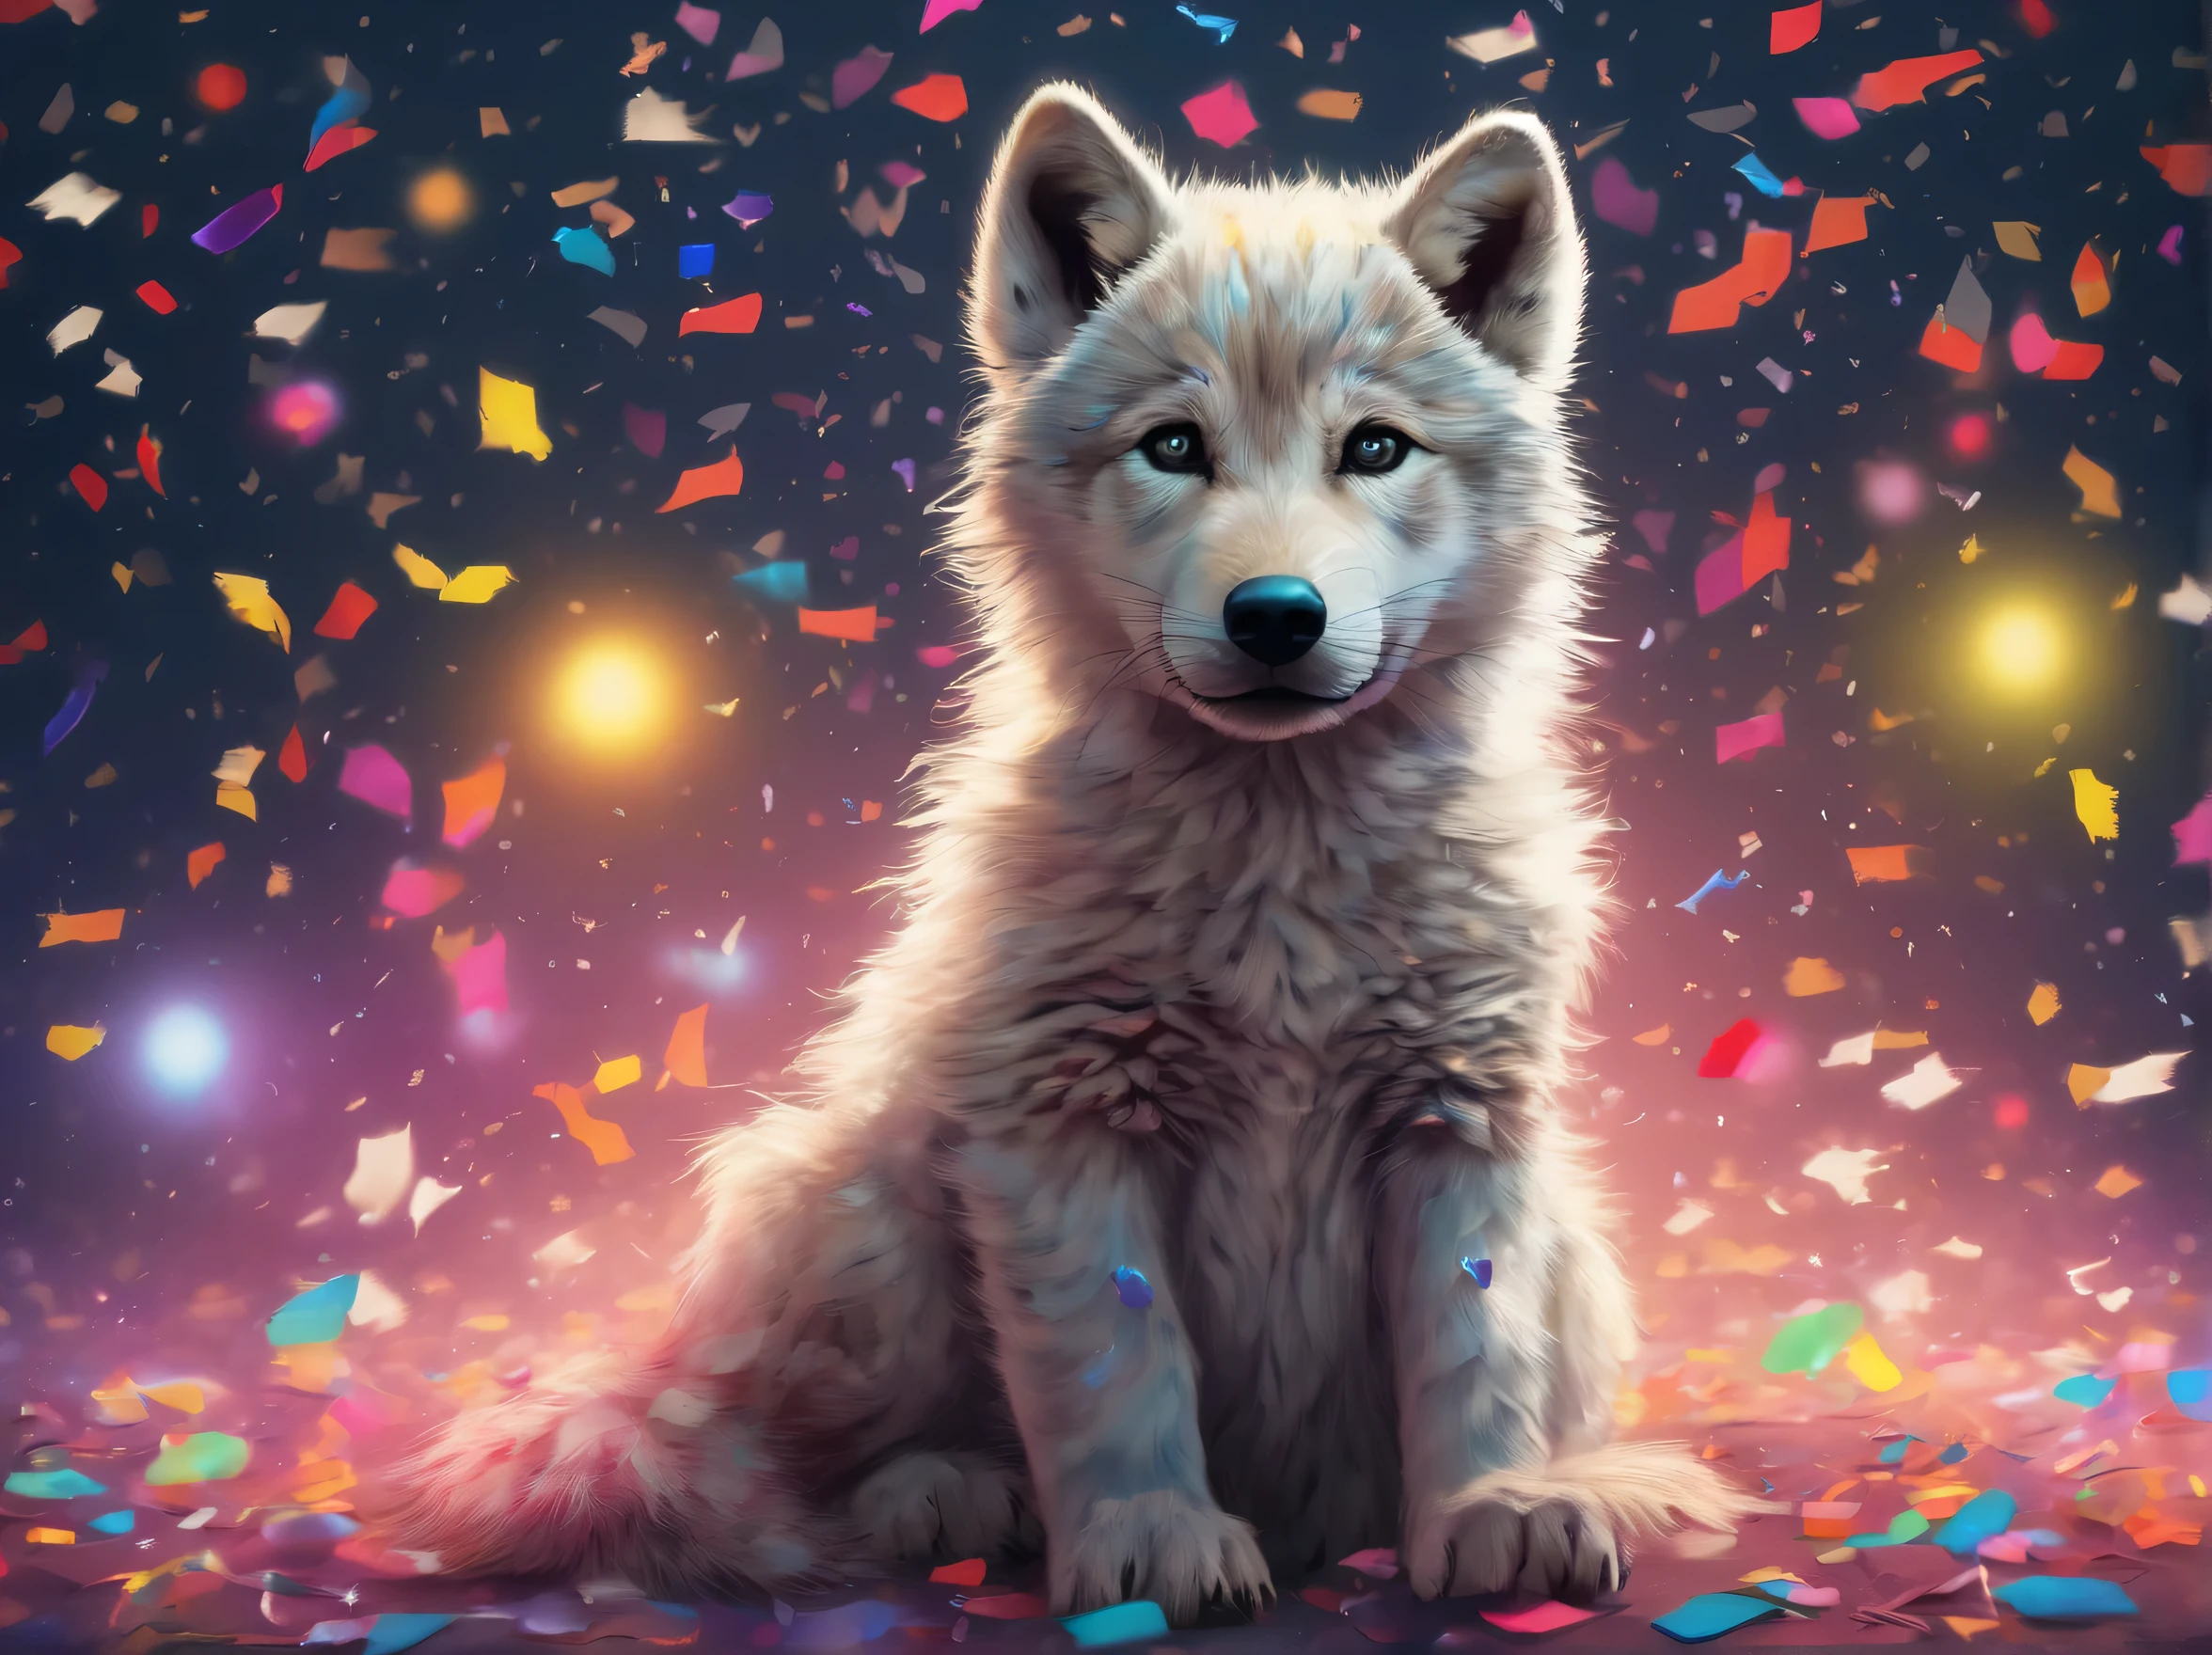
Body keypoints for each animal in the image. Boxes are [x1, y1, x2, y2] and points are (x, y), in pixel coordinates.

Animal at [388, 85, 1754, 1622]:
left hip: (1580, 1249)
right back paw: (949, 1495)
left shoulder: (1457, 1120)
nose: (1275, 614)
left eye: (1375, 447)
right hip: (854, 1213)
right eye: (1173, 446)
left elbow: (1474, 1353)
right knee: (777, 1462)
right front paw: (1151, 1540)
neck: (1278, 857)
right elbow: (1115, 1367)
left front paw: (1493, 1510)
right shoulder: (1062, 1127)